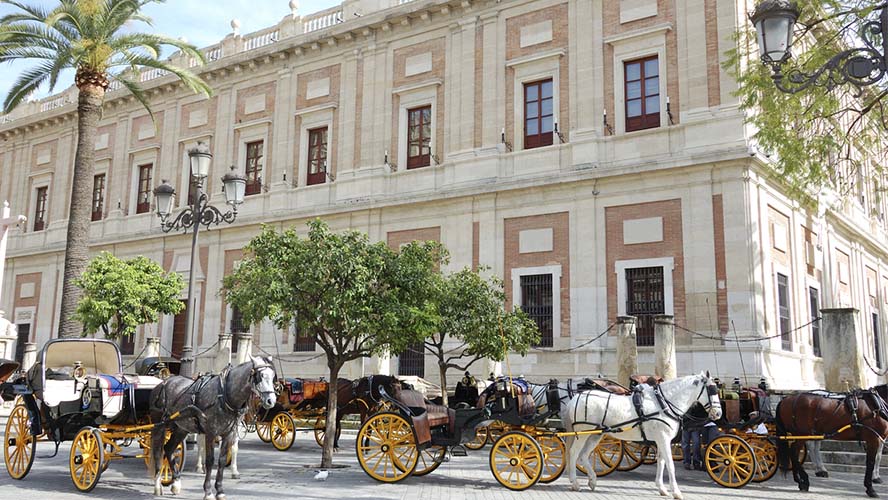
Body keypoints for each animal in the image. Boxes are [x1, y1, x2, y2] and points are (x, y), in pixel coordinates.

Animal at [148, 356, 278, 500]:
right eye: (260, 376)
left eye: (273, 376)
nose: (271, 401)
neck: (224, 395)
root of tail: (163, 382)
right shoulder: (211, 433)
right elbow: (210, 461)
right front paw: (208, 492)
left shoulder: (229, 434)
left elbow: (222, 461)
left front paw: (220, 490)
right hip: (159, 426)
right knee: (158, 452)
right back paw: (157, 485)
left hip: (181, 428)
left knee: (169, 449)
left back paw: (176, 483)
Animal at [564, 374, 724, 498]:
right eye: (712, 390)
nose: (718, 413)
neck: (663, 404)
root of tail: (576, 397)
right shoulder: (664, 439)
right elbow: (670, 464)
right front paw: (676, 492)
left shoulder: (661, 440)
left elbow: (661, 462)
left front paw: (662, 488)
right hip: (582, 434)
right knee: (573, 453)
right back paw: (575, 482)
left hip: (595, 435)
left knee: (583, 455)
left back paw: (592, 480)